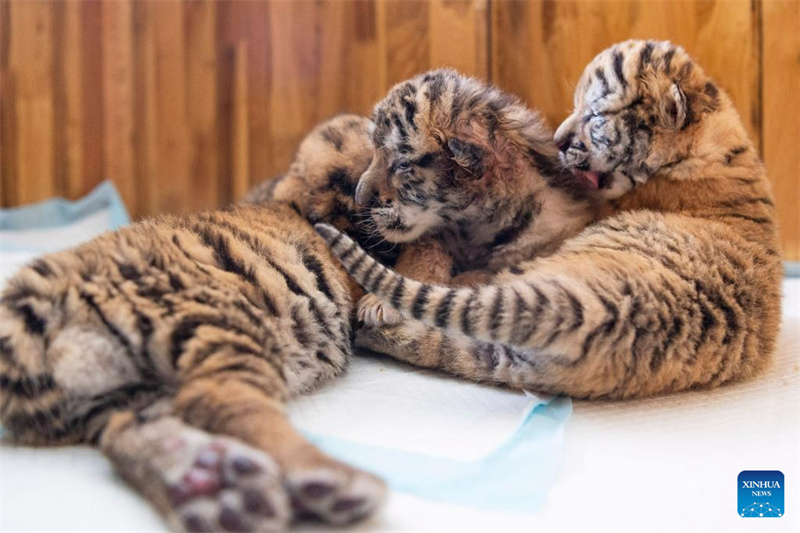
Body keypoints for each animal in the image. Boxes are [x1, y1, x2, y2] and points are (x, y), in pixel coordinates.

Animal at [0, 114, 394, 533]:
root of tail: (38, 295)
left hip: (117, 394)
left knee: (127, 431)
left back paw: (210, 488)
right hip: (218, 325)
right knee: (219, 401)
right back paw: (330, 481)